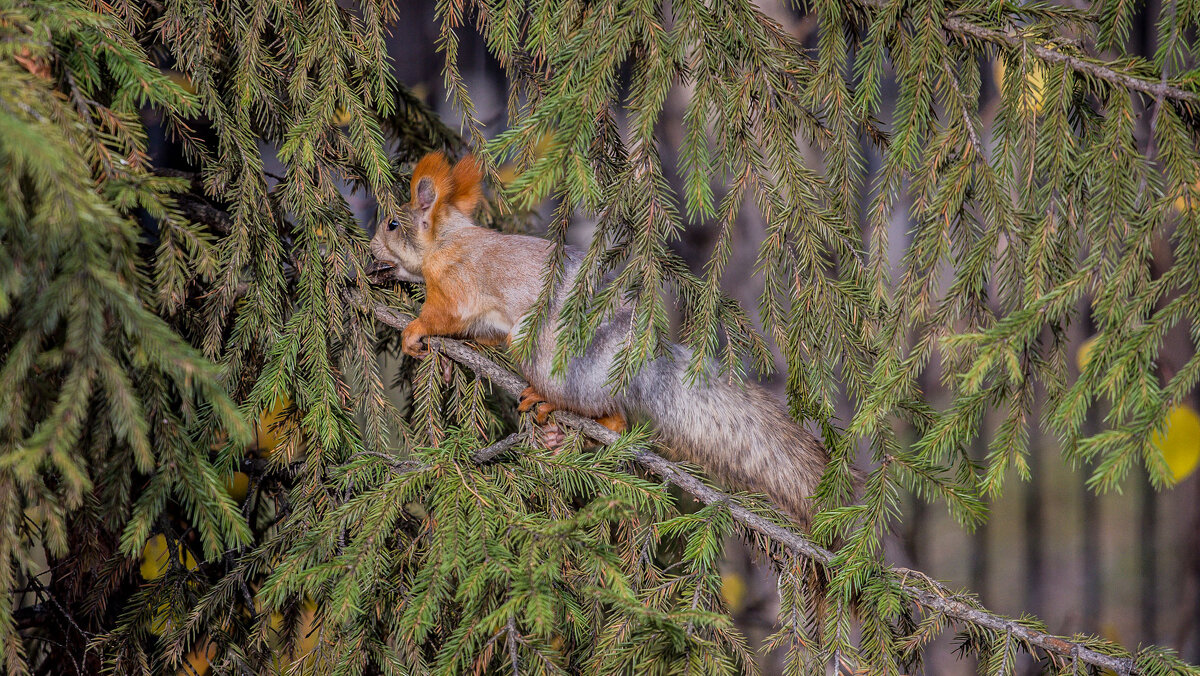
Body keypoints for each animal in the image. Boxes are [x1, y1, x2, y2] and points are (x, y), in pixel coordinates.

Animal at [367, 151, 835, 523]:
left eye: (391, 224)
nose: (369, 252)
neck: (449, 241)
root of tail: (638, 365)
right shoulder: (483, 320)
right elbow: (477, 336)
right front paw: (451, 359)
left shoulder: (457, 286)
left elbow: (441, 317)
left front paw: (414, 332)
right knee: (614, 420)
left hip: (546, 350)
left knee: (594, 407)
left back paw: (548, 403)